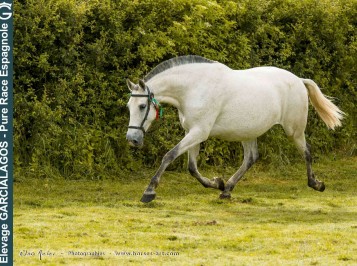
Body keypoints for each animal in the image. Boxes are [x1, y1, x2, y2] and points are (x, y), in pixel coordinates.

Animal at [124, 55, 342, 203]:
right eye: (128, 106)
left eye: (142, 106)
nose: (132, 140)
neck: (194, 88)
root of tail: (299, 80)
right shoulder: (192, 132)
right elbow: (192, 168)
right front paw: (217, 182)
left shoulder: (199, 132)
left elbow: (169, 156)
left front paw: (149, 191)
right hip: (248, 131)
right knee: (251, 158)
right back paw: (226, 189)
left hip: (293, 130)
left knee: (306, 152)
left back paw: (316, 184)